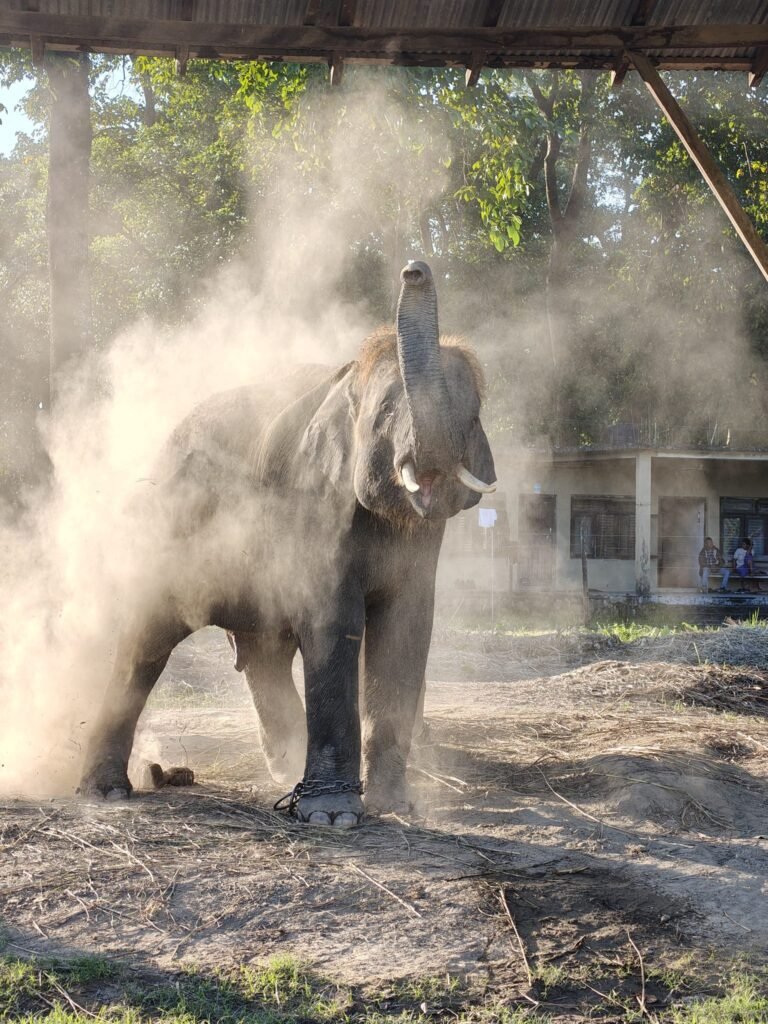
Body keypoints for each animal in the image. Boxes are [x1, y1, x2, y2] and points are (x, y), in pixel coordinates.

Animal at [78, 260, 496, 827]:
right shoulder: (318, 505)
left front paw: (395, 807)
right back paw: (105, 793)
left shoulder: (424, 536)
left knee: (265, 652)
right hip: (168, 530)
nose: (414, 268)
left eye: (471, 416)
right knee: (147, 641)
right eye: (387, 412)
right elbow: (334, 622)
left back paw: (284, 770)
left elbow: (406, 628)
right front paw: (333, 817)